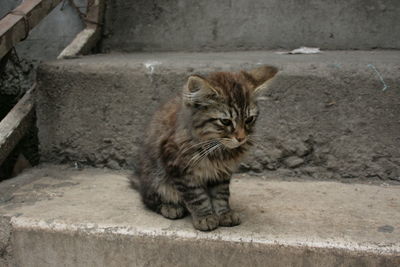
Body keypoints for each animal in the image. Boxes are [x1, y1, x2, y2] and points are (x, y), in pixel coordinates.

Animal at [138, 65, 278, 232]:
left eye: (249, 119)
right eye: (225, 121)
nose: (241, 138)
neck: (216, 147)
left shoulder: (221, 173)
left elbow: (220, 195)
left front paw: (224, 214)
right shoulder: (179, 168)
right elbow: (197, 197)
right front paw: (204, 217)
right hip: (156, 177)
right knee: (149, 199)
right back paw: (170, 207)